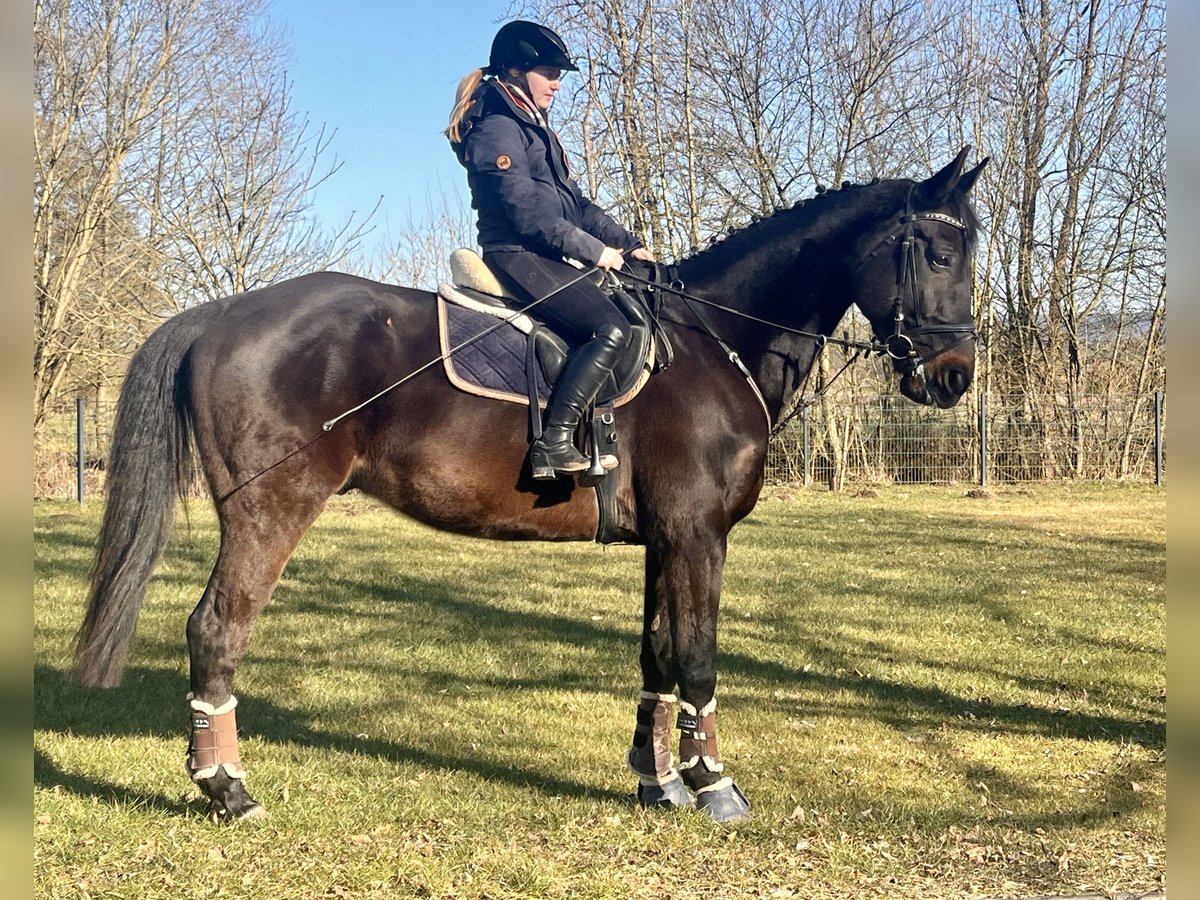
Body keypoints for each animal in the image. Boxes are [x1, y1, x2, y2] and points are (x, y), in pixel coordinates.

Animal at [70, 146, 984, 825]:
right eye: (940, 252)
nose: (953, 378)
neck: (716, 340)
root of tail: (222, 313)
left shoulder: (667, 540)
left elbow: (656, 653)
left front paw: (659, 781)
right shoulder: (698, 536)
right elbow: (697, 657)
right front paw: (715, 784)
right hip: (269, 509)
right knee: (215, 630)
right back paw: (228, 789)